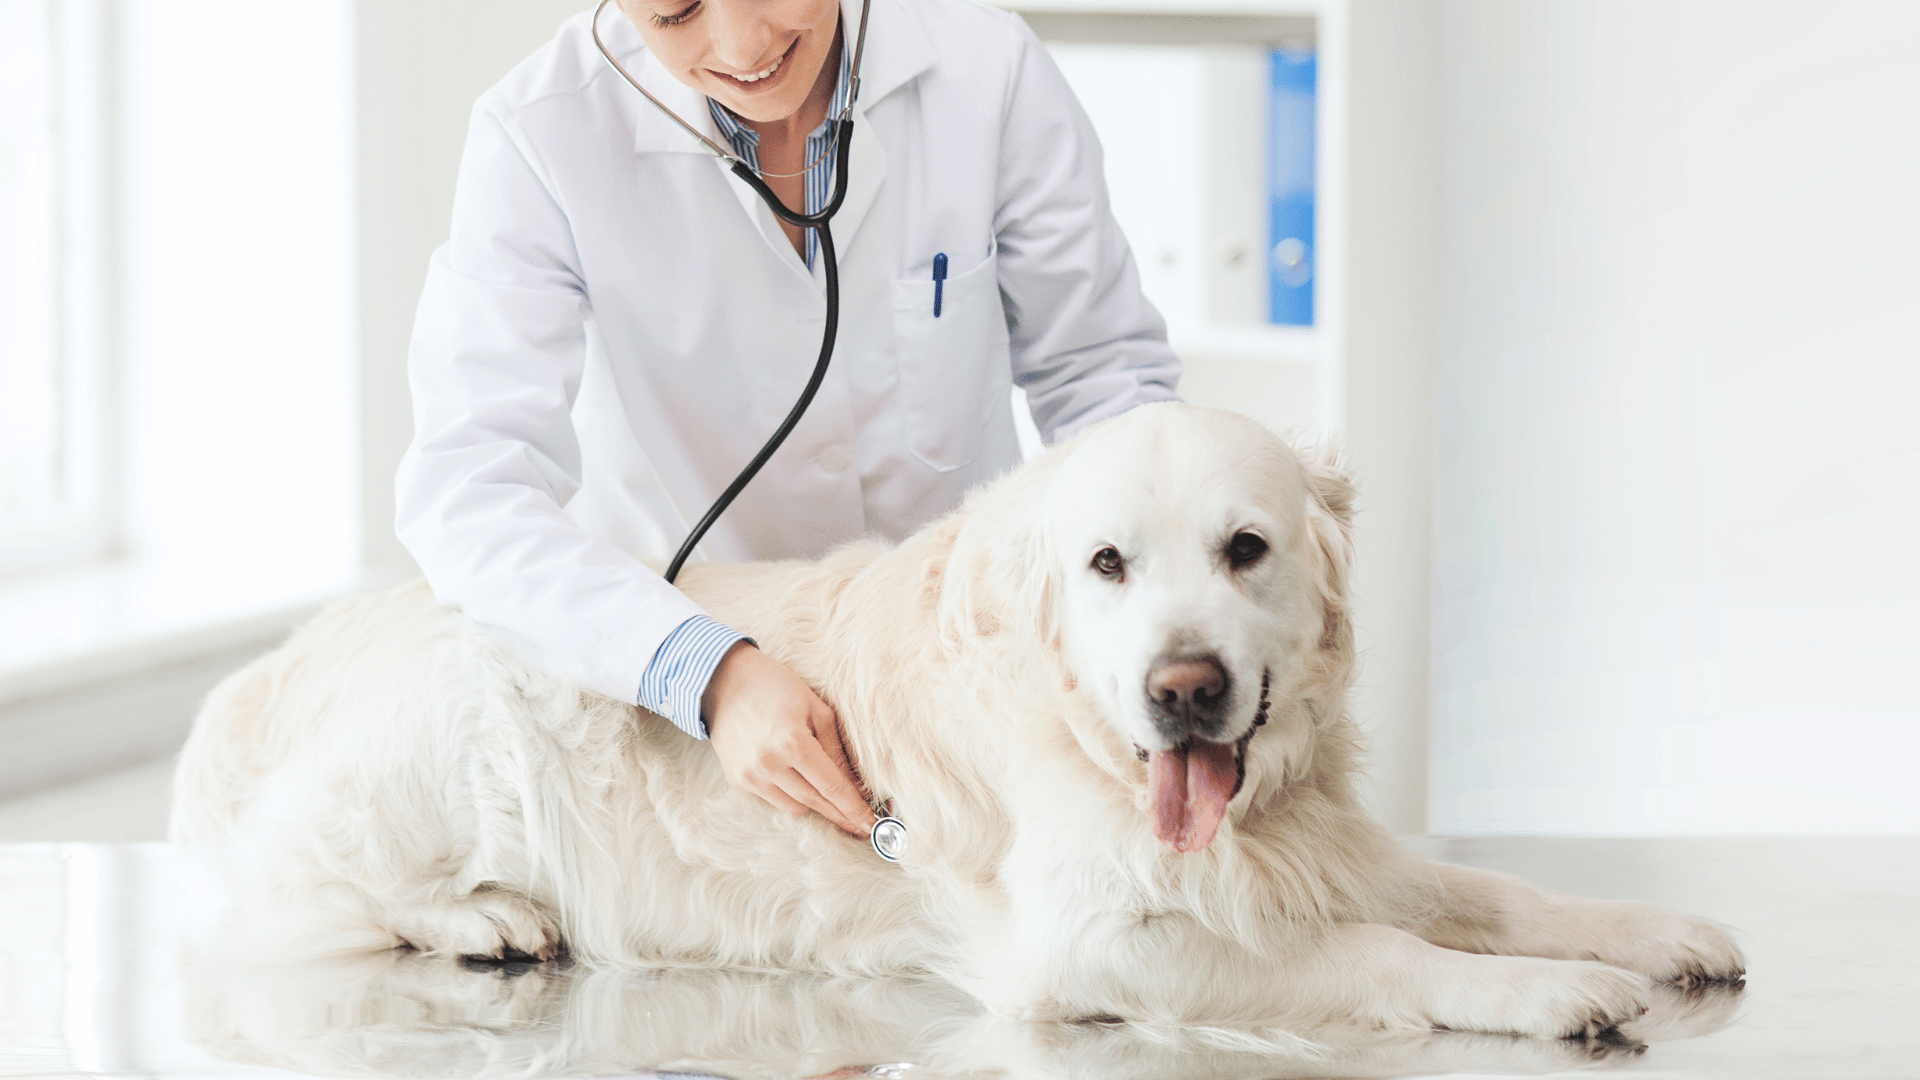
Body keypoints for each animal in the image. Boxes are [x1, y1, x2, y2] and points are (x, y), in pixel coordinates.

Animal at [172, 401, 1751, 1037]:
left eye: (1246, 549)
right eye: (1108, 564)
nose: (1184, 692)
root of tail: (271, 662)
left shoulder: (1313, 843)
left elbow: (1489, 892)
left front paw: (1648, 933)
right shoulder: (1092, 943)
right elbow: (1383, 953)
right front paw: (1549, 994)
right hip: (458, 723)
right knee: (301, 896)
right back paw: (488, 918)